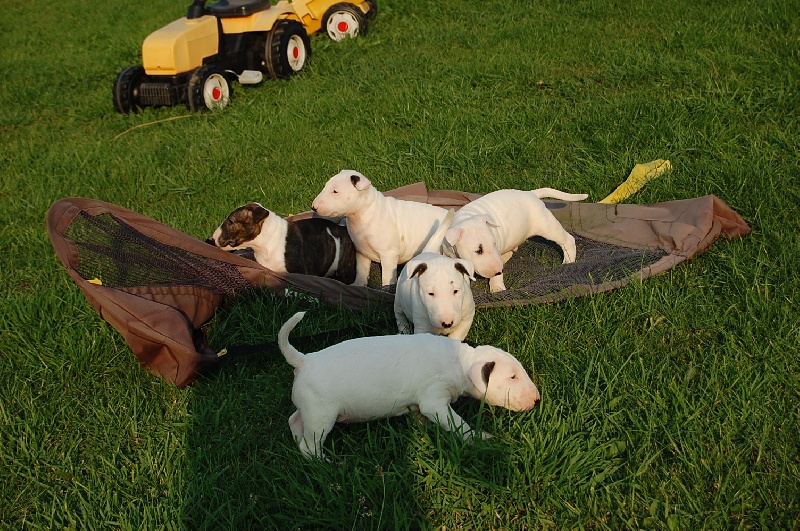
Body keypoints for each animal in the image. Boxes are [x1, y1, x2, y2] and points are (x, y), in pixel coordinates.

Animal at [278, 314, 540, 460]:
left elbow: (419, 415)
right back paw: (326, 463)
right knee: (309, 446)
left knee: (294, 420)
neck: (459, 361)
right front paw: (480, 438)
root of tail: (304, 361)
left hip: (309, 408)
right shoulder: (434, 399)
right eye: (513, 377)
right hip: (321, 414)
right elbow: (457, 423)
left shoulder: (418, 403)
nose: (537, 399)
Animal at [310, 170, 450, 286]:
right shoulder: (361, 251)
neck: (365, 214)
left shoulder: (389, 254)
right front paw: (357, 285)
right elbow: (361, 271)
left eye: (335, 191)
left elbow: (387, 277)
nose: (313, 207)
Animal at [444, 188, 588, 296]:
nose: (499, 270)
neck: (466, 219)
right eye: (478, 250)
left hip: (546, 225)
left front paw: (497, 288)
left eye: (494, 244)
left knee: (567, 239)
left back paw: (568, 261)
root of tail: (530, 193)